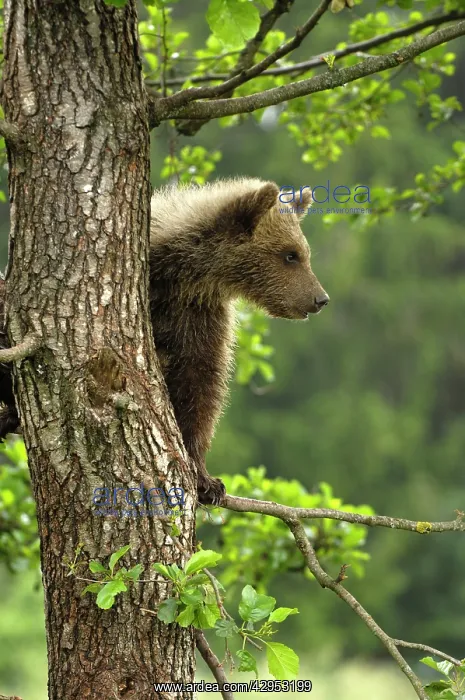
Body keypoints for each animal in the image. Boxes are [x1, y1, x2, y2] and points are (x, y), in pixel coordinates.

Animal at [0, 178, 329, 505]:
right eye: (290, 255)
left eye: (303, 252)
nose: (320, 299)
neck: (187, 275)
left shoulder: (199, 317)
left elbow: (199, 384)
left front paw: (206, 480)